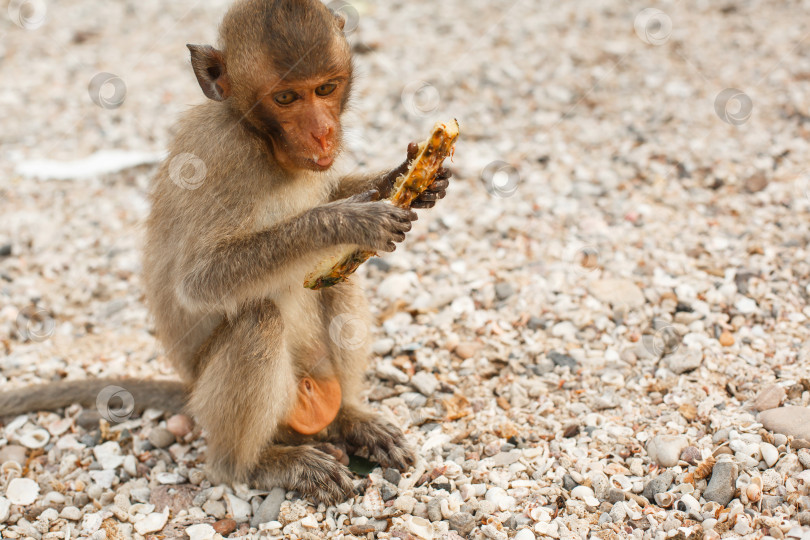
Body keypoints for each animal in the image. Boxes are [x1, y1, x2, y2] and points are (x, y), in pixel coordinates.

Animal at [0, 0, 448, 504]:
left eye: (325, 88)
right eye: (286, 98)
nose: (323, 134)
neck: (260, 140)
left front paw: (404, 178)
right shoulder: (223, 159)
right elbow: (199, 281)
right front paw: (346, 220)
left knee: (337, 283)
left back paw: (349, 419)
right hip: (222, 397)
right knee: (259, 321)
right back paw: (256, 465)